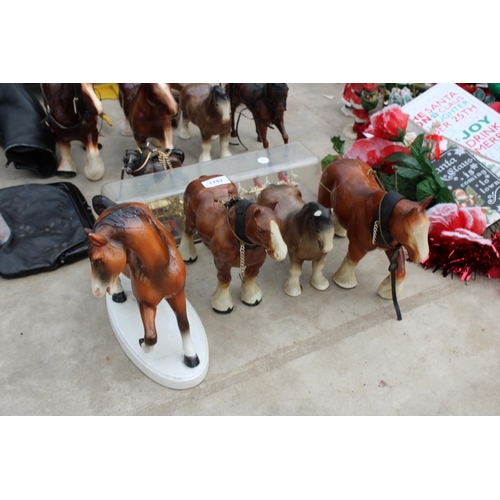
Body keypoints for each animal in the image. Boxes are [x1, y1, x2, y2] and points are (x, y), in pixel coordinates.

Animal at [86, 200, 199, 368]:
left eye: (97, 261)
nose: (96, 291)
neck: (159, 268)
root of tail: (111, 205)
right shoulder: (146, 303)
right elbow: (151, 336)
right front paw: (141, 342)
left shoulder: (177, 294)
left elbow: (184, 324)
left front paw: (191, 357)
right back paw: (118, 295)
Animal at [178, 175, 288, 312]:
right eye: (261, 230)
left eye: (279, 223)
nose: (281, 252)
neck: (241, 242)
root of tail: (203, 178)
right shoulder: (222, 263)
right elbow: (225, 279)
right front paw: (222, 304)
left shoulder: (258, 260)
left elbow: (251, 275)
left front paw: (251, 296)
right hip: (190, 219)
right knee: (188, 232)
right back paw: (187, 255)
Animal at [318, 158, 432, 304]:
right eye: (408, 233)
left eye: (427, 227)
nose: (424, 257)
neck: (382, 217)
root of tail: (339, 160)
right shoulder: (359, 245)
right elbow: (352, 260)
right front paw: (344, 281)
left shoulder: (392, 247)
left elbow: (401, 270)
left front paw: (387, 291)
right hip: (324, 195)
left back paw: (340, 231)